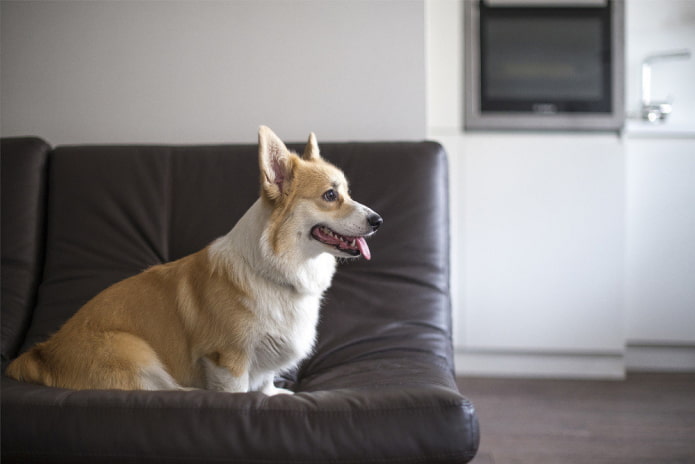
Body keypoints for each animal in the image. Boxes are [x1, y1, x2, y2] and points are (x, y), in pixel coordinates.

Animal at [5, 127, 384, 396]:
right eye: (330, 196)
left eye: (347, 192)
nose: (378, 220)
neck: (276, 271)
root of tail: (41, 353)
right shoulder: (228, 361)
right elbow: (240, 392)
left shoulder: (262, 365)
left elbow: (265, 385)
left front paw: (275, 395)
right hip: (136, 354)